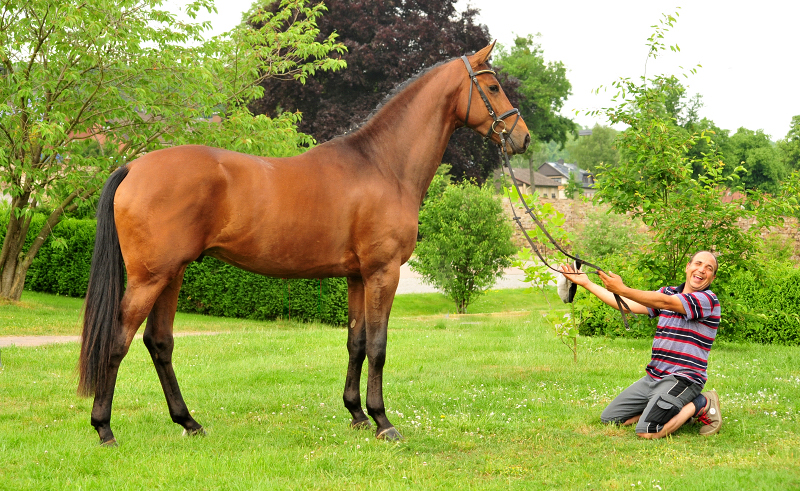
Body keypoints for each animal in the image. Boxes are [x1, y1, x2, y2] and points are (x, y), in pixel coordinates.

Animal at [78, 42, 532, 446]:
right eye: (492, 87)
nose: (522, 138)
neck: (382, 166)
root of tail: (133, 166)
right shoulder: (383, 272)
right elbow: (379, 347)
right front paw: (383, 422)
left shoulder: (356, 277)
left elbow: (356, 342)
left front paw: (356, 414)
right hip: (149, 278)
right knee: (117, 341)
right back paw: (104, 429)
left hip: (171, 275)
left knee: (160, 342)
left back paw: (189, 423)